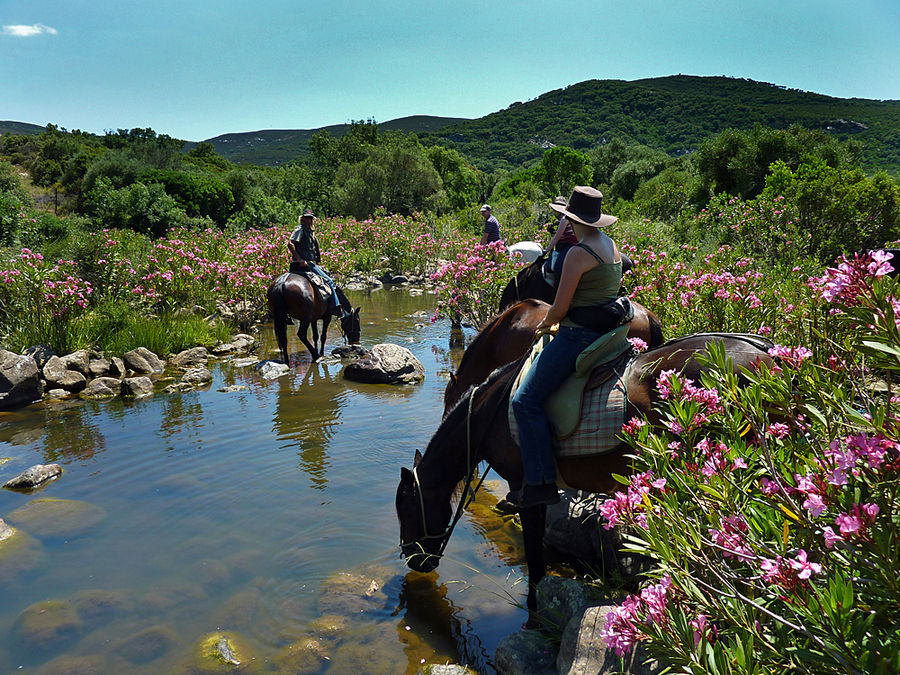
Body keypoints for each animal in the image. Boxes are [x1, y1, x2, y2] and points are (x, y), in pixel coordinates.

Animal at [398, 332, 776, 624]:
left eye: (406, 508)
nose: (412, 559)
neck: (489, 415)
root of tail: (766, 354)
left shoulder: (526, 489)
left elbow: (534, 557)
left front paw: (535, 610)